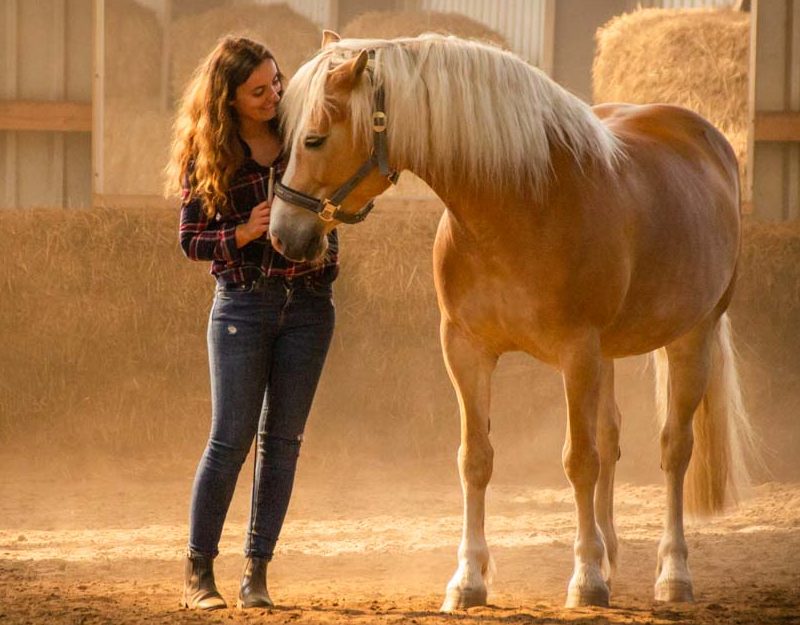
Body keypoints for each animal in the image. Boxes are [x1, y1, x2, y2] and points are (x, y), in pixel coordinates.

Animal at [269, 31, 761, 610]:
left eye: (315, 139)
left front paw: (585, 579)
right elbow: (476, 459)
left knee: (673, 449)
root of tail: (707, 138)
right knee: (612, 437)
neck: (522, 204)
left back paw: (672, 573)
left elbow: (579, 461)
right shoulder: (465, 349)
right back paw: (612, 558)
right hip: (610, 355)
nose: (282, 235)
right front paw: (469, 580)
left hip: (691, 337)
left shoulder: (577, 352)